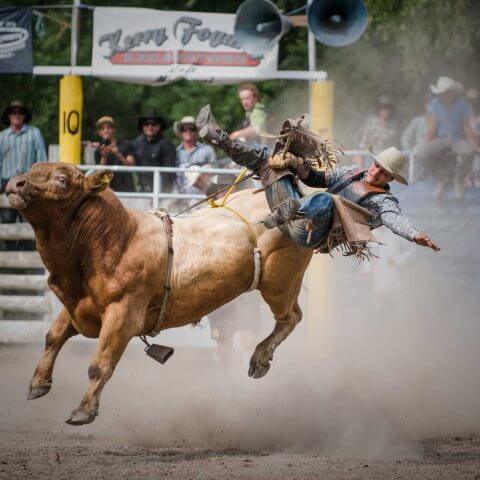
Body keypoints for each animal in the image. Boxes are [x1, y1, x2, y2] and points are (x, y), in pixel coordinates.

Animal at [5, 163, 314, 426]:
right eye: (33, 168)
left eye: (61, 179)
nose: (14, 183)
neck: (114, 240)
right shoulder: (77, 306)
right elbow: (53, 336)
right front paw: (38, 383)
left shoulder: (123, 315)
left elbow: (100, 364)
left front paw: (84, 410)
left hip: (280, 283)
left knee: (290, 317)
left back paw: (259, 359)